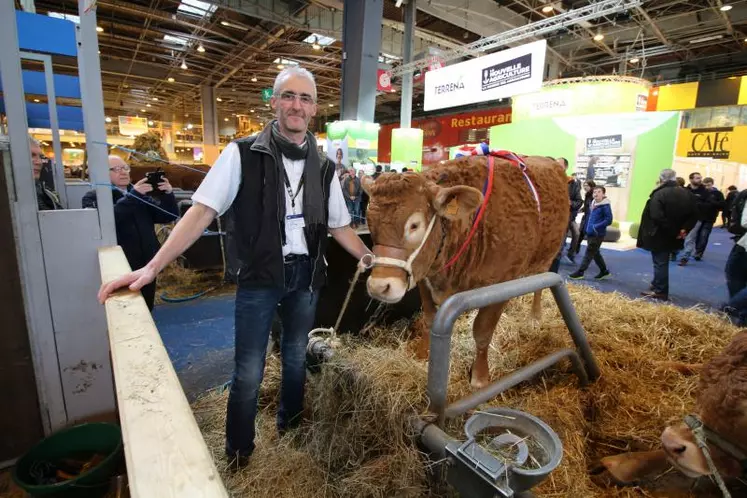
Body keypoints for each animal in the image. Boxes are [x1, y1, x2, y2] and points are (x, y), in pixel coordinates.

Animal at [362, 156, 568, 390]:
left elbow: (482, 332)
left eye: (414, 225)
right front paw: (423, 354)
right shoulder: (424, 276)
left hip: (548, 256)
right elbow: (429, 321)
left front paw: (480, 377)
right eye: (370, 223)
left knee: (540, 285)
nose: (379, 287)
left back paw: (534, 317)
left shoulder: (500, 284)